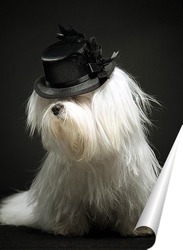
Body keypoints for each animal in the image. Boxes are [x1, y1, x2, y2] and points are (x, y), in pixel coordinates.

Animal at [0, 66, 160, 236]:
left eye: (77, 97)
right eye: (54, 100)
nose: (56, 108)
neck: (94, 149)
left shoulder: (133, 188)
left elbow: (131, 208)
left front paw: (136, 228)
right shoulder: (66, 191)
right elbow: (68, 210)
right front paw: (67, 228)